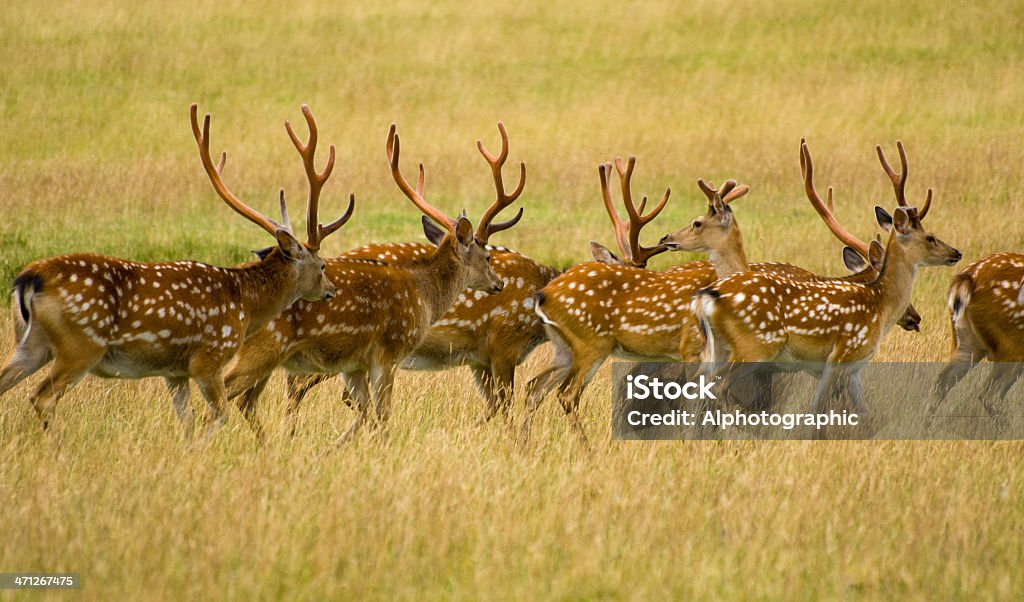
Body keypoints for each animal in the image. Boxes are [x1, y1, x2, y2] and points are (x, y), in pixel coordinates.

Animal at [0, 103, 350, 432]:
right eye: (322, 265)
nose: (332, 291)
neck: (246, 304)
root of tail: (29, 278)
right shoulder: (208, 358)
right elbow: (218, 415)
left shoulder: (174, 371)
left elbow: (188, 421)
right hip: (80, 345)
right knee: (43, 397)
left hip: (30, 343)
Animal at [223, 123, 503, 442]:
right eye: (488, 256)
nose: (499, 283)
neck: (425, 296)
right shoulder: (389, 351)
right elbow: (382, 413)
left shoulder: (355, 363)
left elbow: (365, 411)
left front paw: (337, 446)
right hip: (264, 346)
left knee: (246, 399)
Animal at [299, 122, 565, 423]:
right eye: (487, 256)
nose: (499, 284)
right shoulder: (503, 345)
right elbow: (506, 405)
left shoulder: (479, 358)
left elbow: (493, 404)